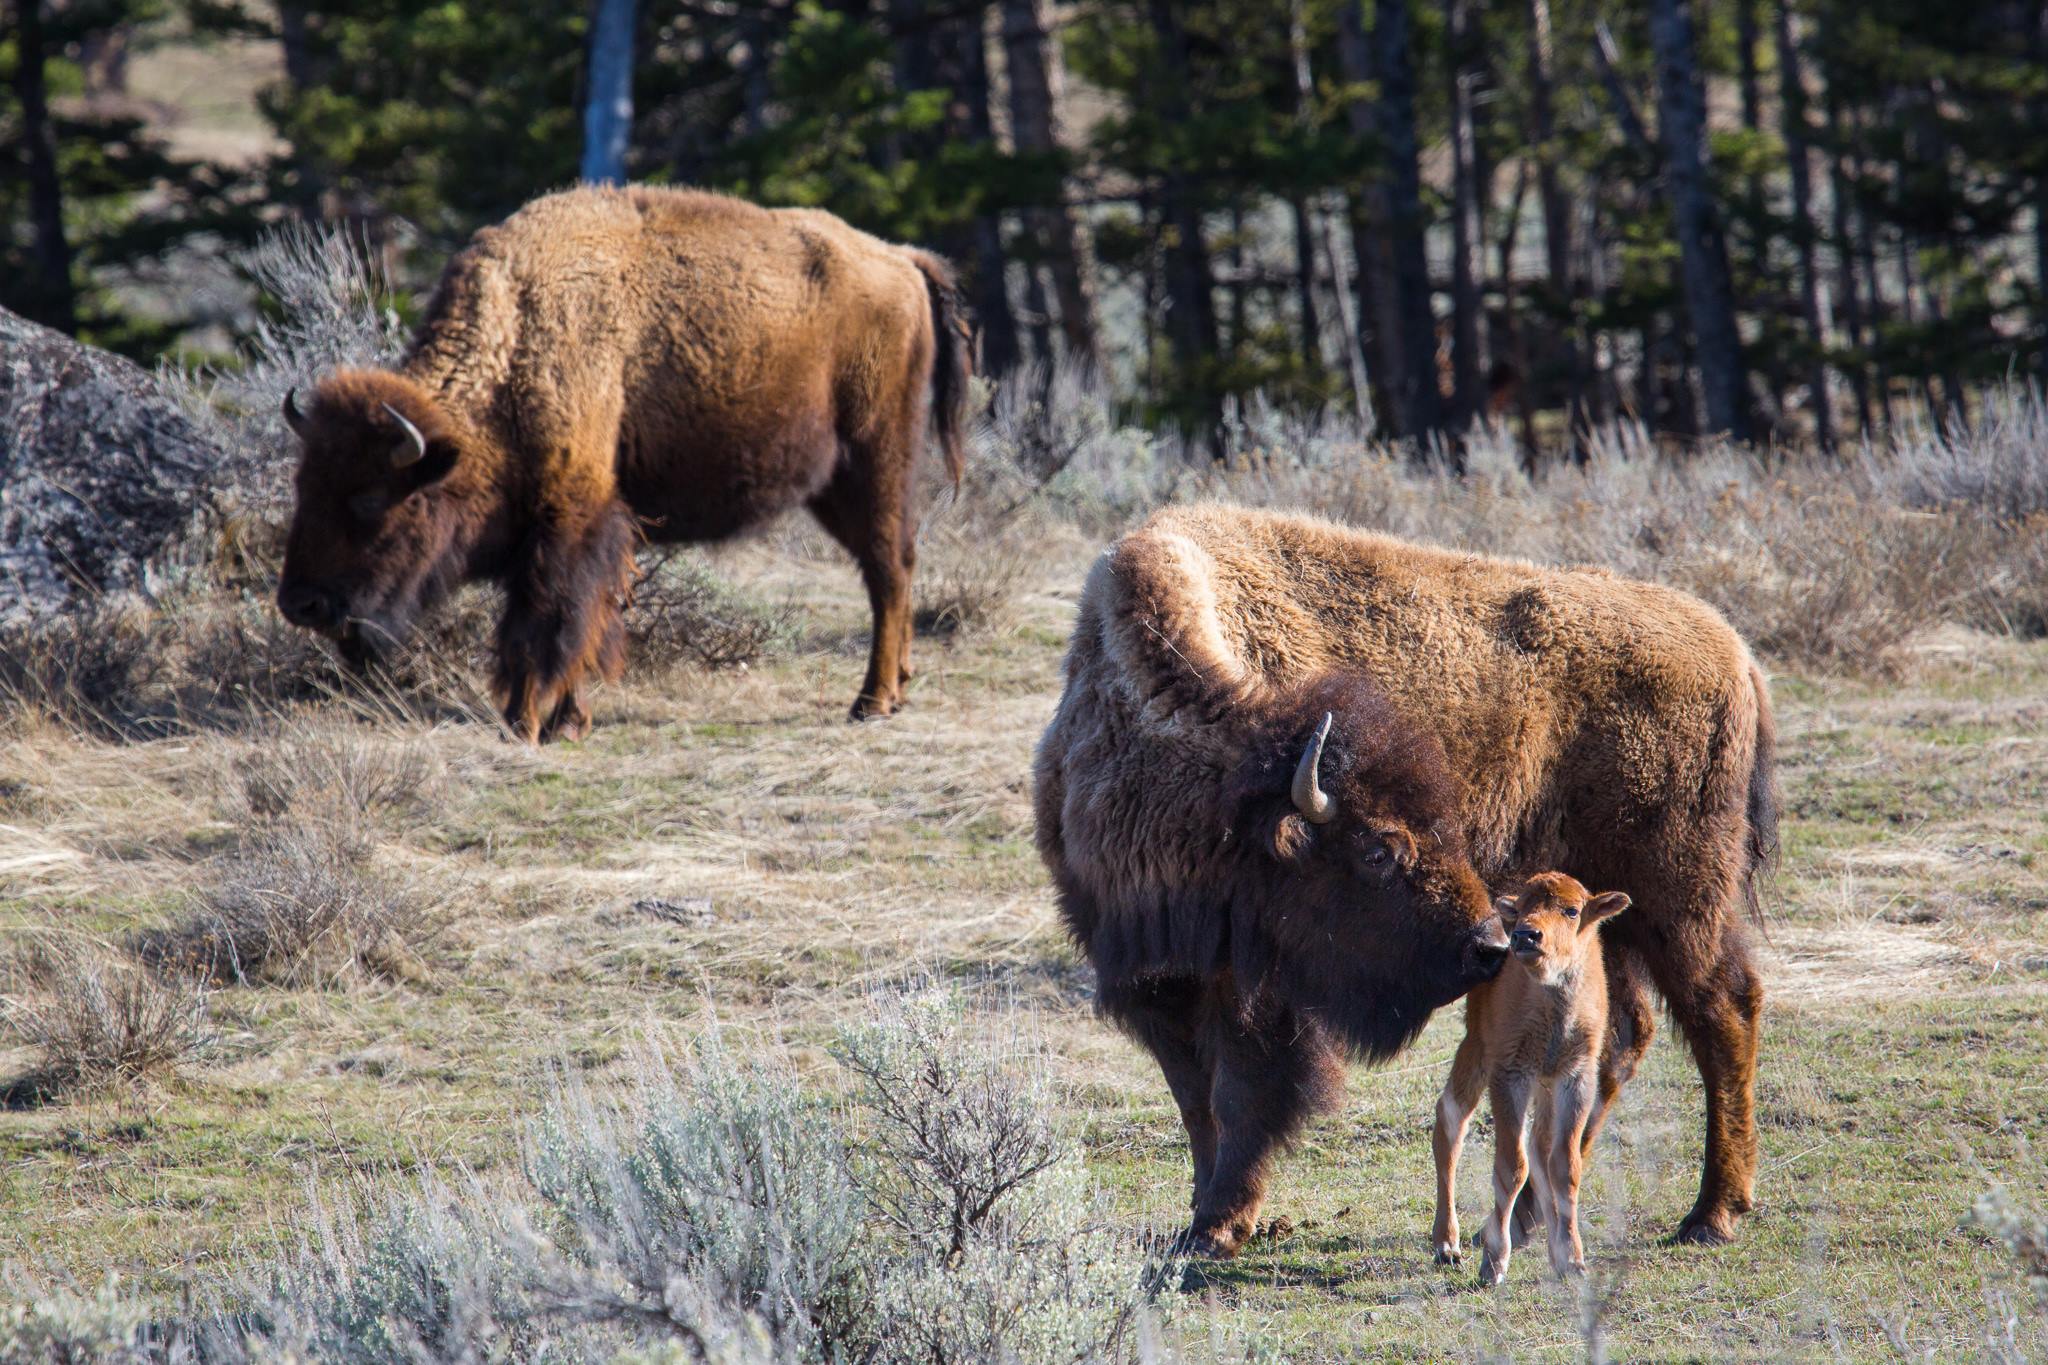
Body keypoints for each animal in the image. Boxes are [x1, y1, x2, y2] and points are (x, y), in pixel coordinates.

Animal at [276, 185, 970, 740]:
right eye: (303, 486)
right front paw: (567, 722)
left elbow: (546, 620)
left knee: (888, 569)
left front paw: (525, 722)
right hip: (836, 483)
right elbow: (584, 619)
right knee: (892, 568)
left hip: (874, 459)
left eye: (369, 499)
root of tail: (901, 259)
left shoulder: (569, 519)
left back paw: (871, 701)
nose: (299, 605)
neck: (516, 344)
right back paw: (896, 690)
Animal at [1433, 871, 1638, 1285]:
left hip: (1542, 1086)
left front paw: (1573, 1259)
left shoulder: (1574, 1077)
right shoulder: (1510, 1074)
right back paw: (1447, 1246)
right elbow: (1512, 1166)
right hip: (1476, 1050)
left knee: (1540, 1148)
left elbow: (1565, 1166)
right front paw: (1493, 1264)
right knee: (1450, 1124)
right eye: (1524, 905)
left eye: (1572, 910)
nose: (1525, 935)